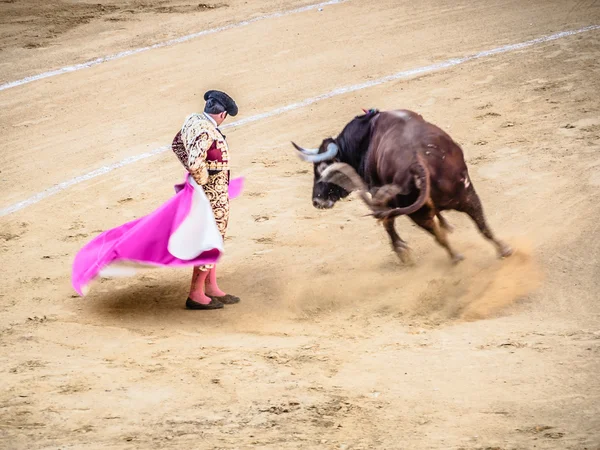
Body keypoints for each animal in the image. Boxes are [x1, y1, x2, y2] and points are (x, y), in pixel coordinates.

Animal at [290, 108, 510, 264]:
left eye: (322, 169)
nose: (316, 201)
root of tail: (419, 161)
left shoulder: (379, 196)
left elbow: (388, 223)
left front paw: (402, 251)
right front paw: (447, 225)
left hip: (415, 210)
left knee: (433, 234)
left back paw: (454, 257)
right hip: (465, 193)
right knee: (481, 223)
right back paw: (503, 249)